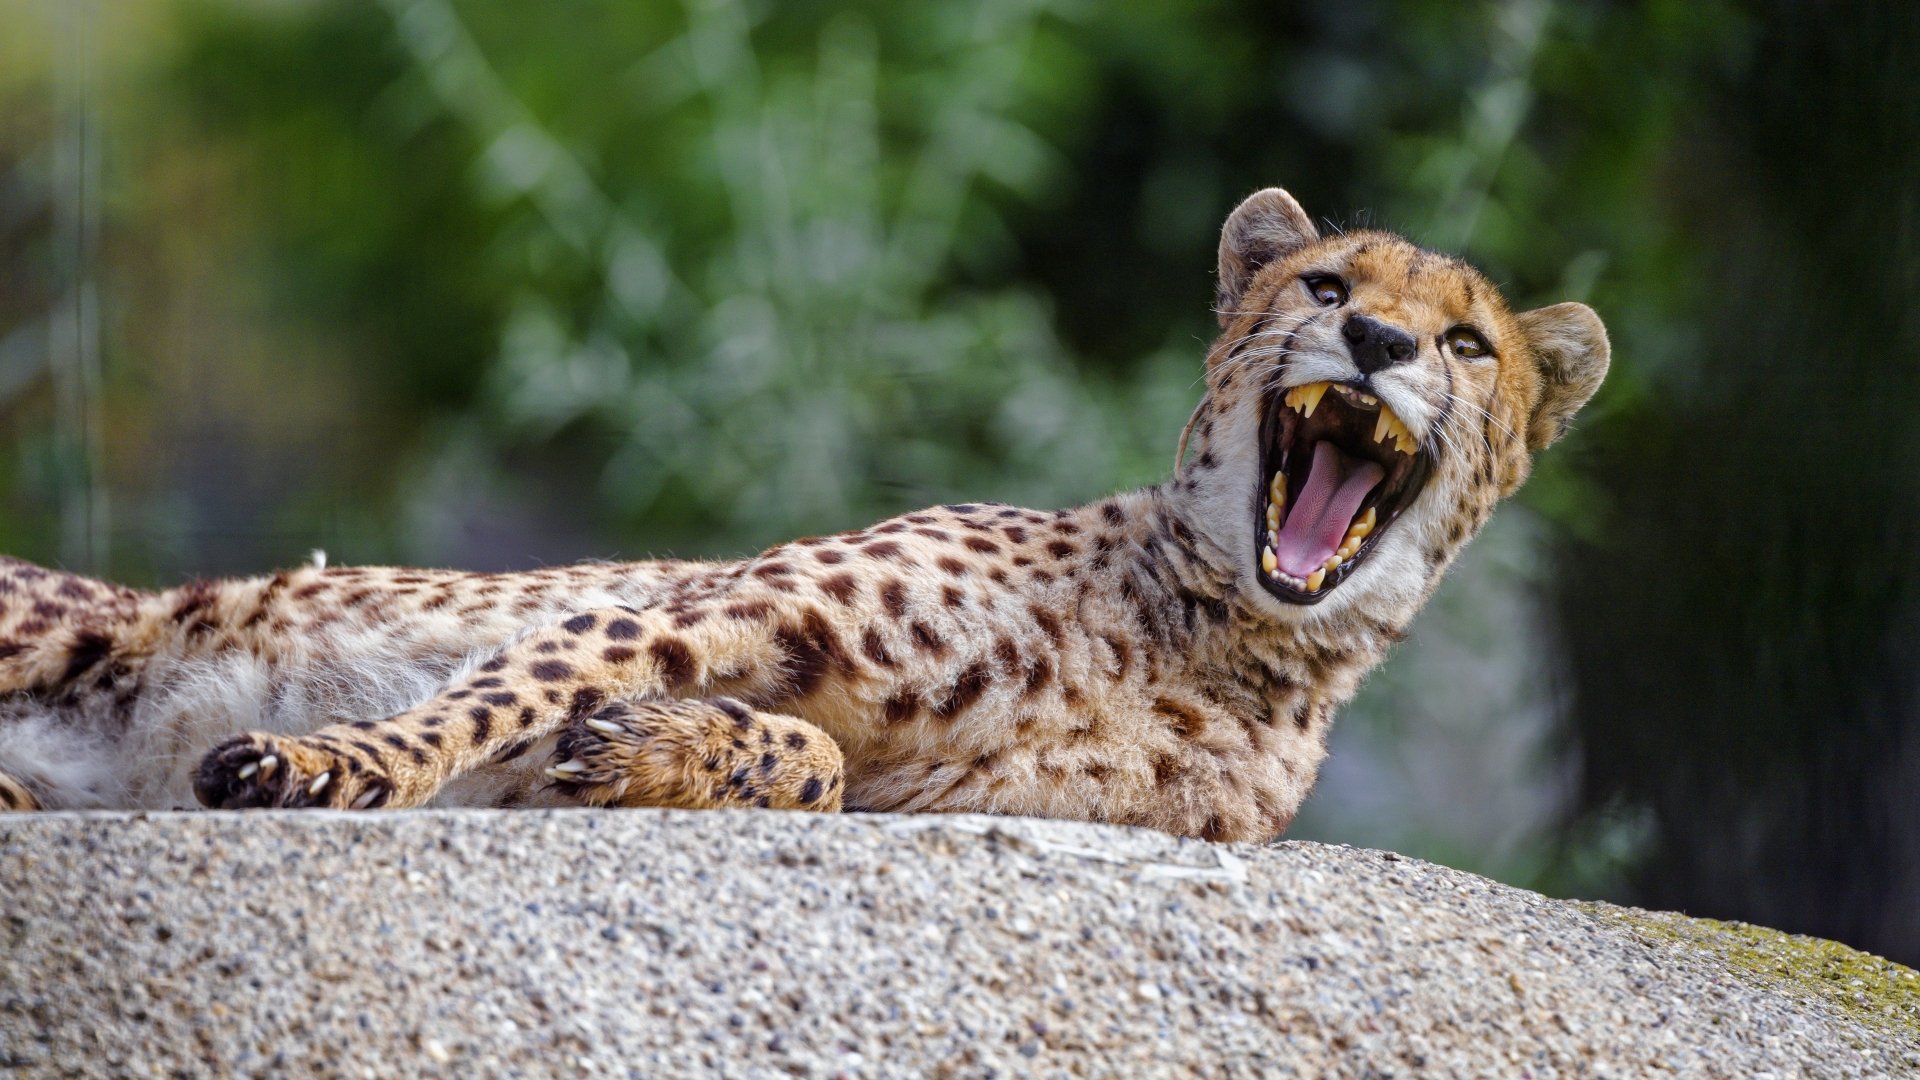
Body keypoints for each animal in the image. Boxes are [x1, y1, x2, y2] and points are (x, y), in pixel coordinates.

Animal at [0, 187, 1607, 842]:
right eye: (1327, 285)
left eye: (1468, 345)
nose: (1378, 346)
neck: (1210, 624)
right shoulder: (701, 601)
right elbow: (485, 697)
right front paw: (324, 764)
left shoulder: (948, 798)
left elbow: (823, 769)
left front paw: (663, 752)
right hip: (61, 622)